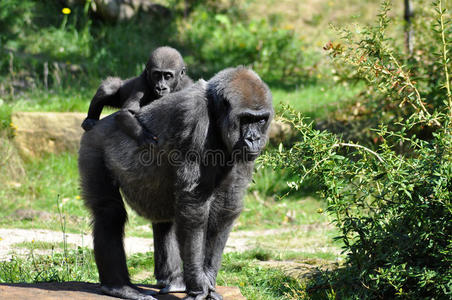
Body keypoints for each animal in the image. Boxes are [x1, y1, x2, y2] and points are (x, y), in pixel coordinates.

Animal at [78, 67, 272, 300]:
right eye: (246, 119)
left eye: (261, 120)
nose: (254, 139)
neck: (215, 111)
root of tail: (96, 124)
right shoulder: (194, 120)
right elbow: (194, 210)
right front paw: (198, 283)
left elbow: (226, 207)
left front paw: (207, 278)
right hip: (93, 144)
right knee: (109, 213)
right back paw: (119, 286)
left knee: (164, 218)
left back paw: (174, 281)